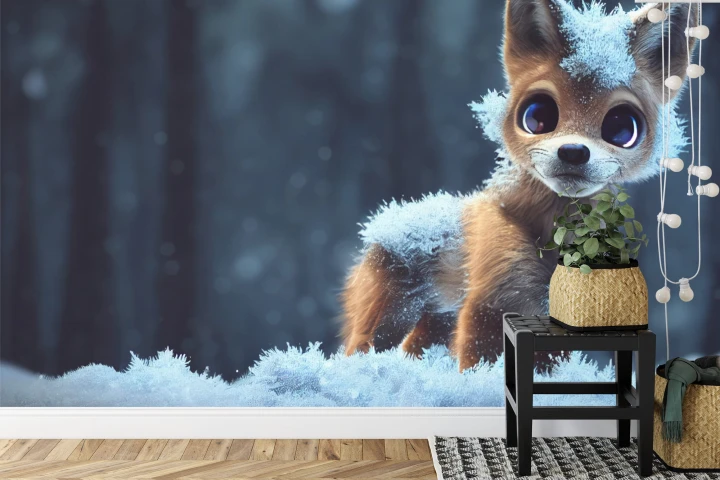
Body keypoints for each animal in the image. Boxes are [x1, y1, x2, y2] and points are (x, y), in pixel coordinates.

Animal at [341, 0, 698, 371]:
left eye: (622, 128)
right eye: (537, 116)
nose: (573, 151)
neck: (550, 234)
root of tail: (386, 221)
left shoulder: (547, 305)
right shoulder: (494, 298)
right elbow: (482, 360)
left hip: (433, 323)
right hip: (390, 316)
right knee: (362, 347)